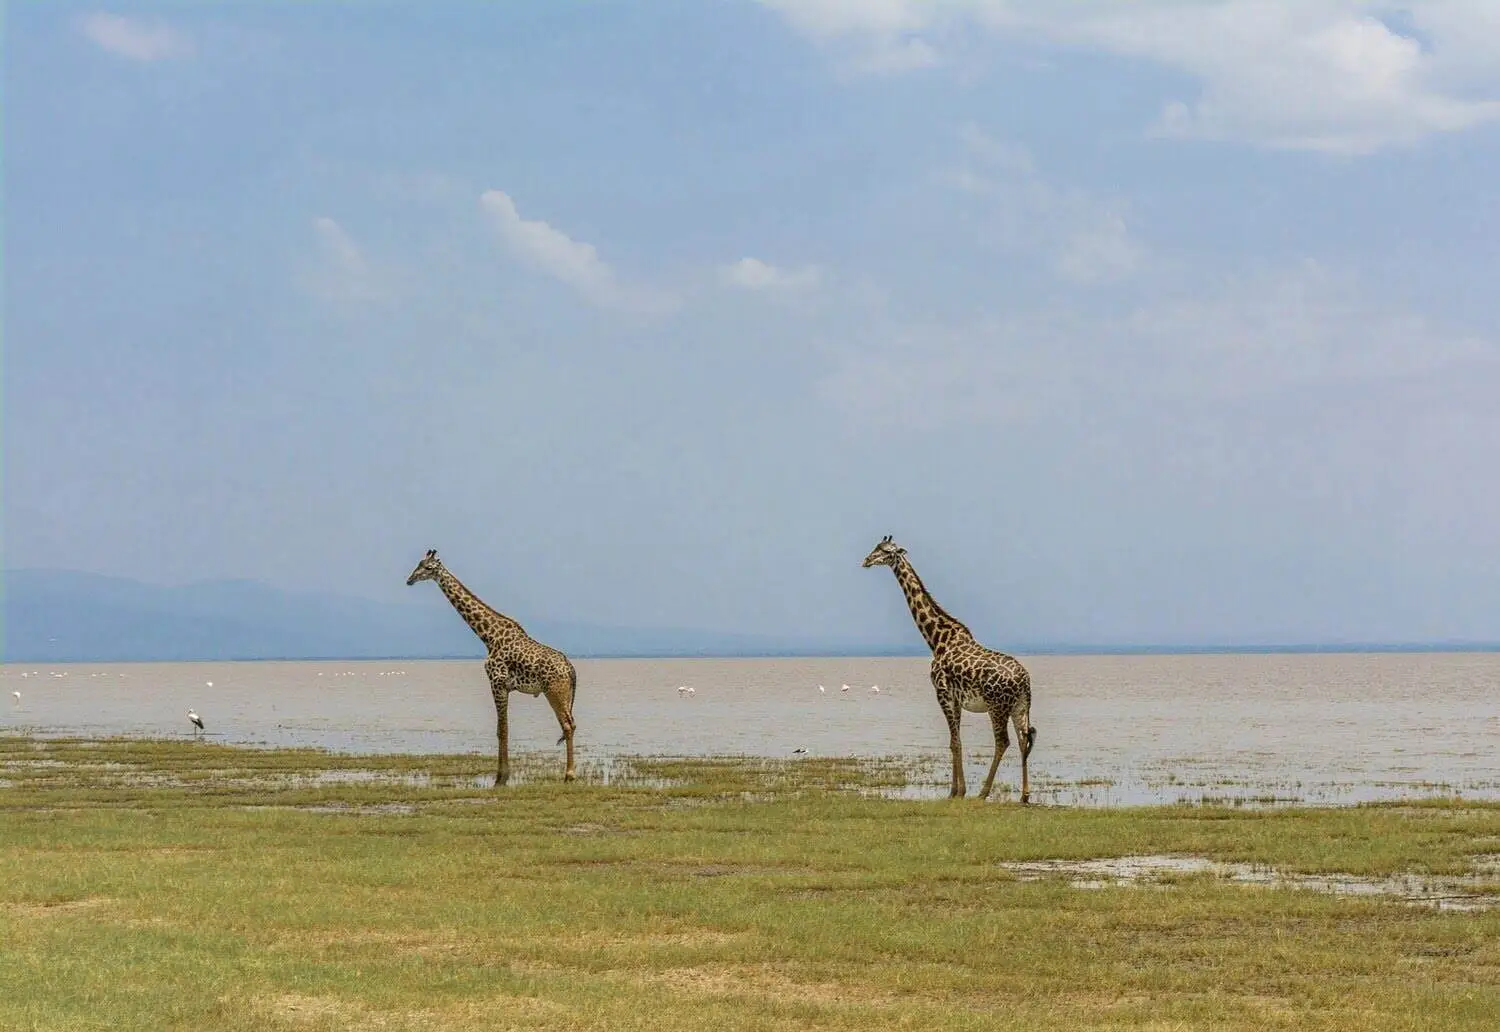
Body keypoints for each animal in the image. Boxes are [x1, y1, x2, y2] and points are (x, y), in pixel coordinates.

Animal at [408, 552, 576, 786]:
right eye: (419, 564)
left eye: (428, 567)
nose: (410, 579)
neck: (488, 636)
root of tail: (570, 668)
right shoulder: (503, 686)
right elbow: (501, 729)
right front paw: (502, 775)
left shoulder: (497, 683)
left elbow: (502, 730)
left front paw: (501, 777)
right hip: (564, 693)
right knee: (571, 724)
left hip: (554, 692)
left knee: (567, 725)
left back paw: (569, 774)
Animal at [864, 537, 1038, 804]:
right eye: (876, 548)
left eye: (886, 551)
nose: (866, 560)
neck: (937, 639)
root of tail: (1024, 680)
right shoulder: (956, 699)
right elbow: (955, 741)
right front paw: (956, 790)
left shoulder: (942, 693)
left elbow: (954, 742)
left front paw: (957, 792)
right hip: (1020, 706)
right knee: (1022, 739)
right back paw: (1024, 795)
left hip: (997, 706)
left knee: (1003, 741)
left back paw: (983, 792)